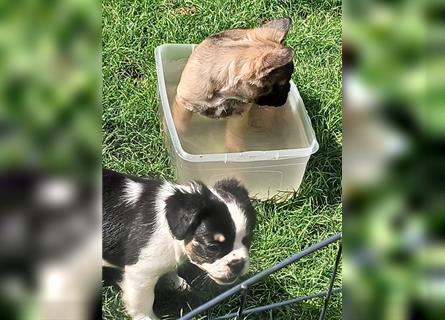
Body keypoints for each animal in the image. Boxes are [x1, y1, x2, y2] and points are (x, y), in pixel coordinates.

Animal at [103, 169, 256, 318]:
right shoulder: (140, 274)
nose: (238, 264)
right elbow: (143, 304)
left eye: (247, 240)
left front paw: (179, 284)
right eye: (212, 247)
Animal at [172, 17, 294, 151]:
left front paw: (235, 149)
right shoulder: (184, 104)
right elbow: (180, 124)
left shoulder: (239, 114)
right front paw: (180, 136)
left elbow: (234, 134)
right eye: (281, 85)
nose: (289, 88)